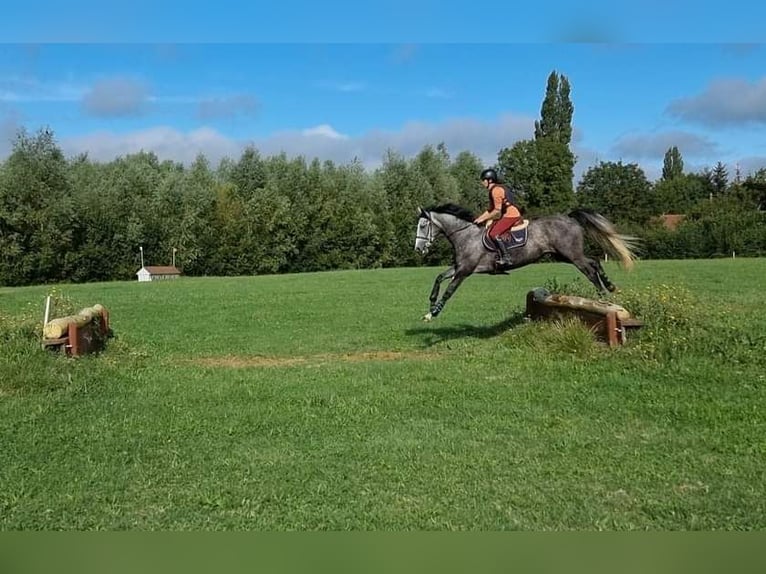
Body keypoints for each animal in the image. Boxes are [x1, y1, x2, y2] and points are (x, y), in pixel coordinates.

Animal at [414, 204, 640, 322]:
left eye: (423, 226)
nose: (418, 249)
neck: (465, 235)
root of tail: (569, 218)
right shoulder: (459, 267)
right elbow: (439, 278)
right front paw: (431, 303)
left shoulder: (465, 270)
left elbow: (449, 290)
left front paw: (433, 312)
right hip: (563, 255)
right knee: (594, 262)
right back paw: (610, 288)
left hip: (571, 254)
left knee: (590, 269)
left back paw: (604, 296)